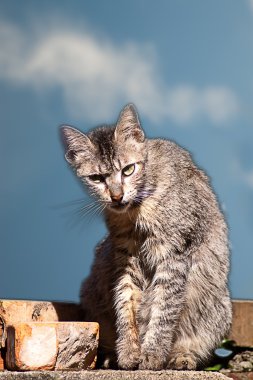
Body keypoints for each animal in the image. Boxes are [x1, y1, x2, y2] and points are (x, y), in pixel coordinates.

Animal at [60, 102, 231, 370]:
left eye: (128, 170)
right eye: (97, 178)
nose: (116, 196)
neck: (135, 214)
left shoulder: (174, 256)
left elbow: (163, 309)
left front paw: (152, 353)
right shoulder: (124, 258)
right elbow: (126, 303)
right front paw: (129, 351)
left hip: (216, 308)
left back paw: (181, 356)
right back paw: (110, 356)